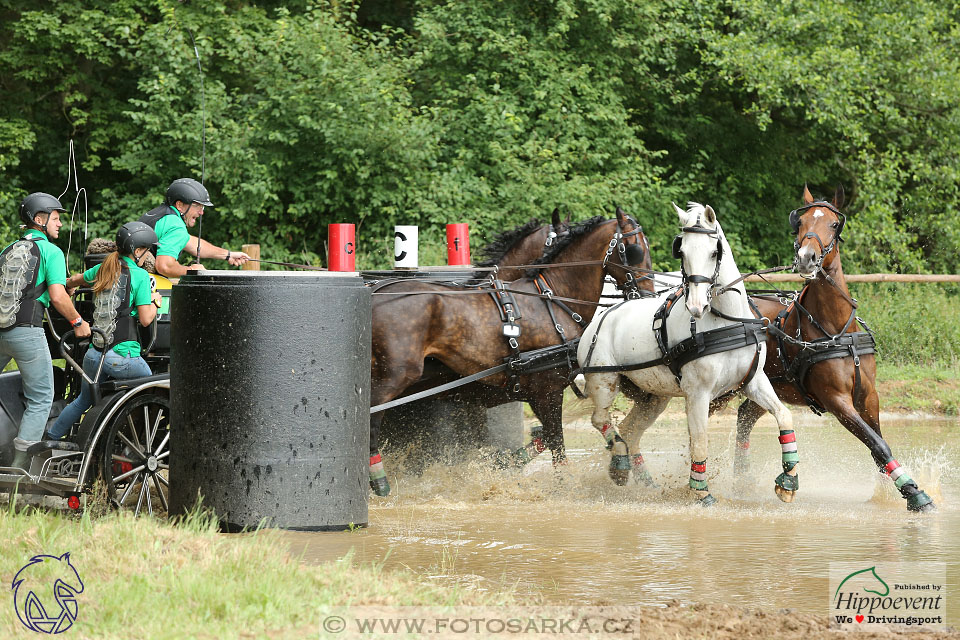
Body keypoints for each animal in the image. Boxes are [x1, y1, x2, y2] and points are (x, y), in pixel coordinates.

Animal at [368, 211, 652, 496]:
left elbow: (542, 437)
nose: (647, 293)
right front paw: (567, 483)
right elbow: (556, 441)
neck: (554, 299)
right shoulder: (546, 390)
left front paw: (501, 463)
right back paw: (378, 480)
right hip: (397, 376)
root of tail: (376, 293)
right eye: (635, 250)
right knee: (371, 415)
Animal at [572, 202, 800, 502]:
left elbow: (784, 416)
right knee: (601, 420)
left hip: (653, 397)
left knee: (631, 430)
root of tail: (601, 317)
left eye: (715, 252)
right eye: (681, 252)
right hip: (604, 381)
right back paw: (620, 464)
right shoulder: (698, 393)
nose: (696, 306)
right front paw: (701, 492)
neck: (725, 322)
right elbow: (700, 441)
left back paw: (644, 481)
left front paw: (789, 480)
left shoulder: (754, 382)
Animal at [732, 184, 932, 510]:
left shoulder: (868, 396)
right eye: (800, 223)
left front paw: (890, 491)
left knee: (744, 419)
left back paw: (741, 480)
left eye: (834, 224)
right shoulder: (837, 401)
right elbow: (878, 444)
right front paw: (914, 493)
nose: (806, 258)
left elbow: (878, 444)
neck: (836, 331)